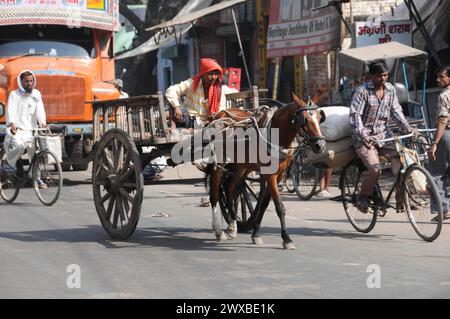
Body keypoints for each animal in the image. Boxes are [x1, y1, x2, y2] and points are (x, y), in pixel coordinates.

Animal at [205, 92, 326, 250]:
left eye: (319, 117)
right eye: (304, 119)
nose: (320, 145)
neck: (277, 135)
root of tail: (218, 116)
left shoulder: (279, 174)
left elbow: (264, 204)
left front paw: (256, 234)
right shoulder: (270, 174)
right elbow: (279, 206)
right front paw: (287, 239)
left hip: (241, 166)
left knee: (229, 188)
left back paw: (232, 224)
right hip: (219, 163)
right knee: (215, 194)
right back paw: (219, 230)